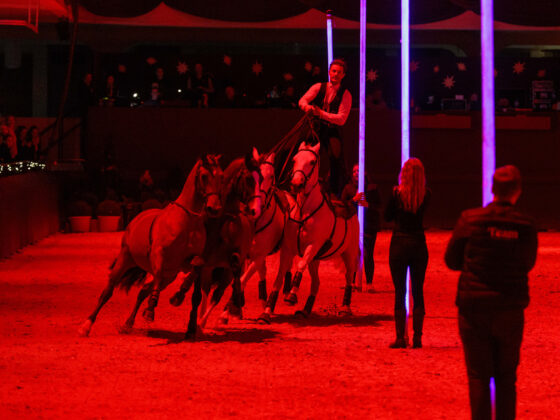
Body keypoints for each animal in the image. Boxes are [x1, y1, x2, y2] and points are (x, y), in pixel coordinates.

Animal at [77, 156, 225, 340]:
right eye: (204, 176)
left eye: (221, 176)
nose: (214, 209)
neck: (188, 220)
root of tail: (136, 218)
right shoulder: (159, 254)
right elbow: (159, 274)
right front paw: (150, 311)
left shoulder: (187, 262)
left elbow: (194, 271)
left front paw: (178, 297)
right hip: (125, 259)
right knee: (107, 292)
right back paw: (86, 326)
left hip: (169, 276)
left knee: (143, 291)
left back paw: (128, 324)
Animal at [167, 149, 264, 334]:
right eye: (249, 179)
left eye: (261, 179)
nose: (255, 210)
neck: (222, 221)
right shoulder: (203, 260)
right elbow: (195, 281)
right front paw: (179, 296)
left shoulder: (234, 258)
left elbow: (234, 268)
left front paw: (236, 303)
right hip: (210, 270)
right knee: (205, 290)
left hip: (224, 272)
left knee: (217, 294)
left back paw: (205, 321)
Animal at [258, 143, 358, 324]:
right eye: (294, 159)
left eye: (312, 161)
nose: (297, 183)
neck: (304, 213)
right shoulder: (288, 249)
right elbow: (279, 277)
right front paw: (266, 312)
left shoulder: (313, 246)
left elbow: (300, 265)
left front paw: (291, 296)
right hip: (316, 260)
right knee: (316, 283)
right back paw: (305, 310)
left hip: (349, 253)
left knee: (348, 276)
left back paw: (345, 308)